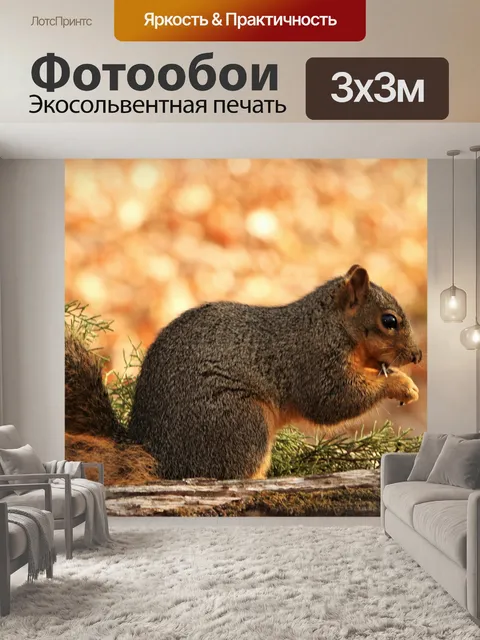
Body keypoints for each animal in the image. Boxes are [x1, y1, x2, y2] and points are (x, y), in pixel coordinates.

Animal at [65, 265, 422, 481]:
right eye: (389, 321)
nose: (417, 356)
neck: (330, 324)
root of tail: (153, 450)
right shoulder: (315, 362)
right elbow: (334, 402)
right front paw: (401, 384)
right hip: (242, 423)